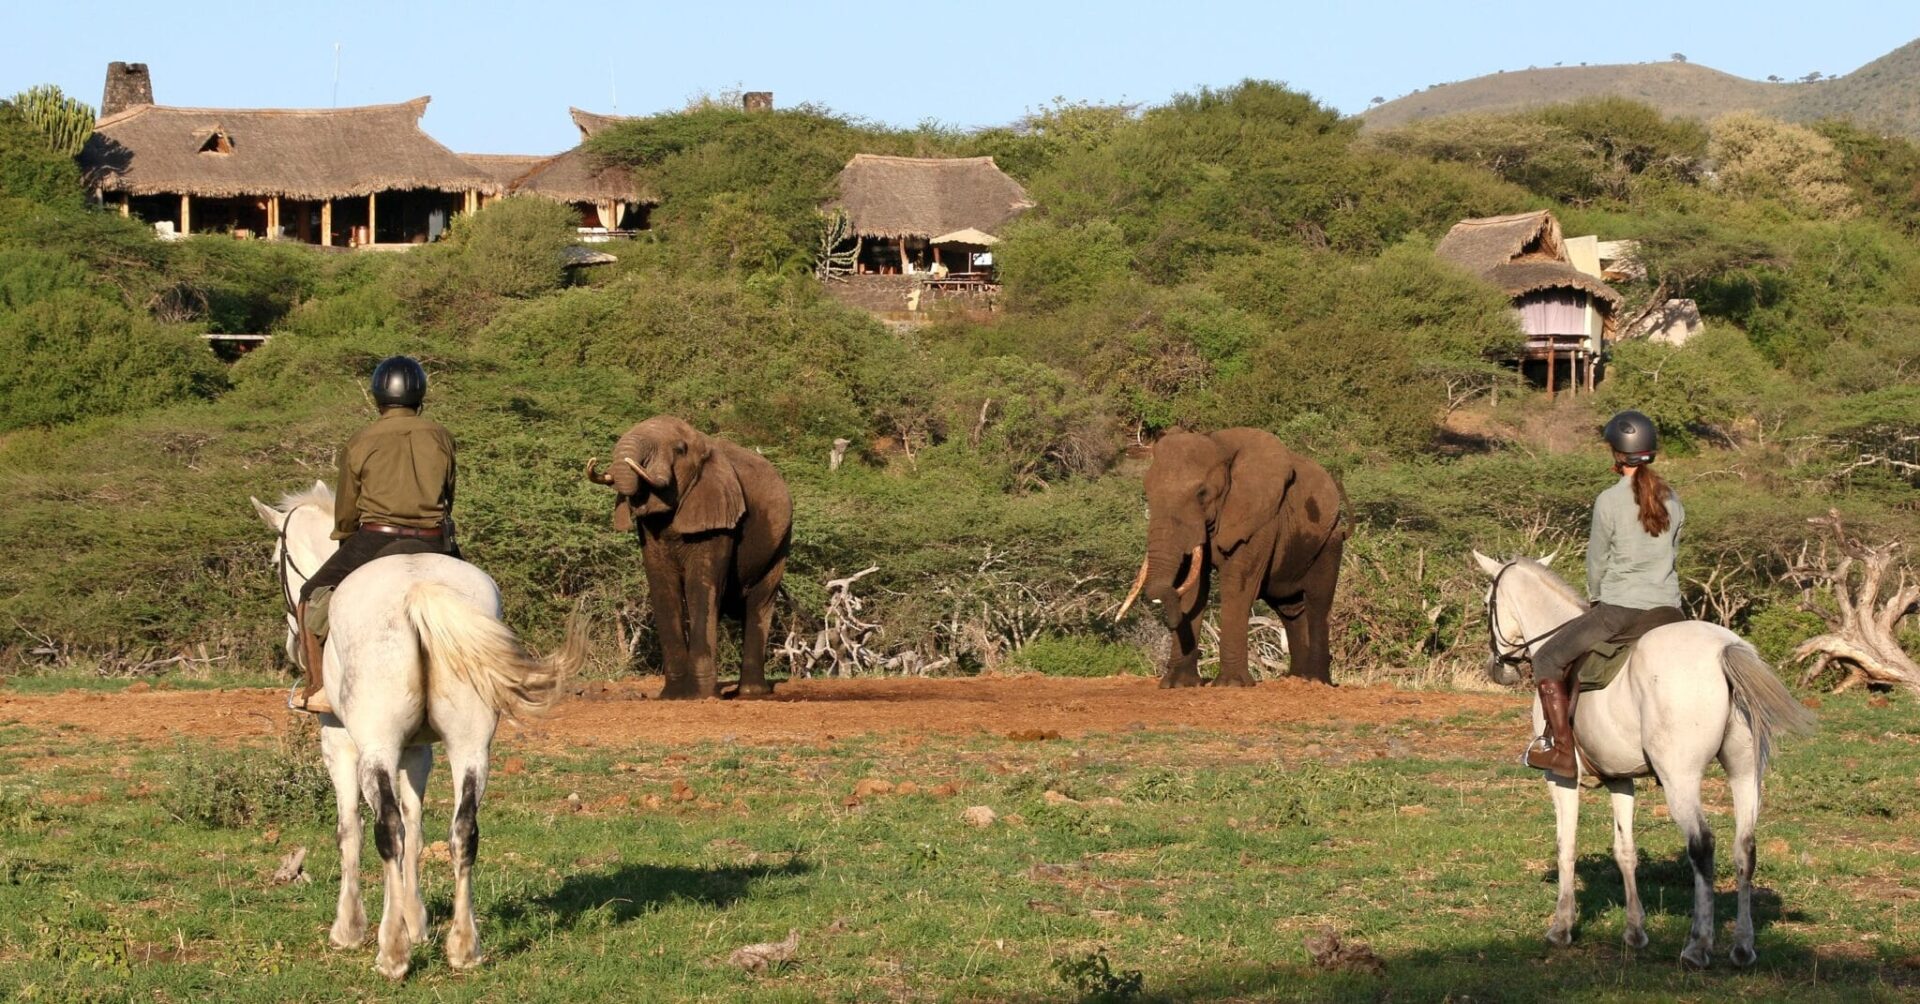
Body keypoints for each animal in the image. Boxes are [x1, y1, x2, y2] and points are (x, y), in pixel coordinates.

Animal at [252, 482, 584, 979]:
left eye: (276, 559)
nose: (292, 637)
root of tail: (418, 591)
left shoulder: (340, 740)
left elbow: (352, 827)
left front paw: (353, 928)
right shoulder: (417, 751)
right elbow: (417, 826)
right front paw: (415, 919)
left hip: (375, 742)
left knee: (386, 828)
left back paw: (391, 955)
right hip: (471, 746)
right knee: (463, 830)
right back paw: (464, 948)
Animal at [1472, 550, 1814, 969]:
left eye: (1487, 603)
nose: (1498, 668)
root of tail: (1722, 650)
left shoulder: (1560, 779)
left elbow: (1566, 847)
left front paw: (1561, 927)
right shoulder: (1621, 779)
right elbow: (1626, 852)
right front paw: (1635, 931)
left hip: (1681, 779)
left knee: (1703, 847)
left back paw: (1698, 946)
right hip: (1745, 773)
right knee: (1745, 848)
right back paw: (1742, 948)